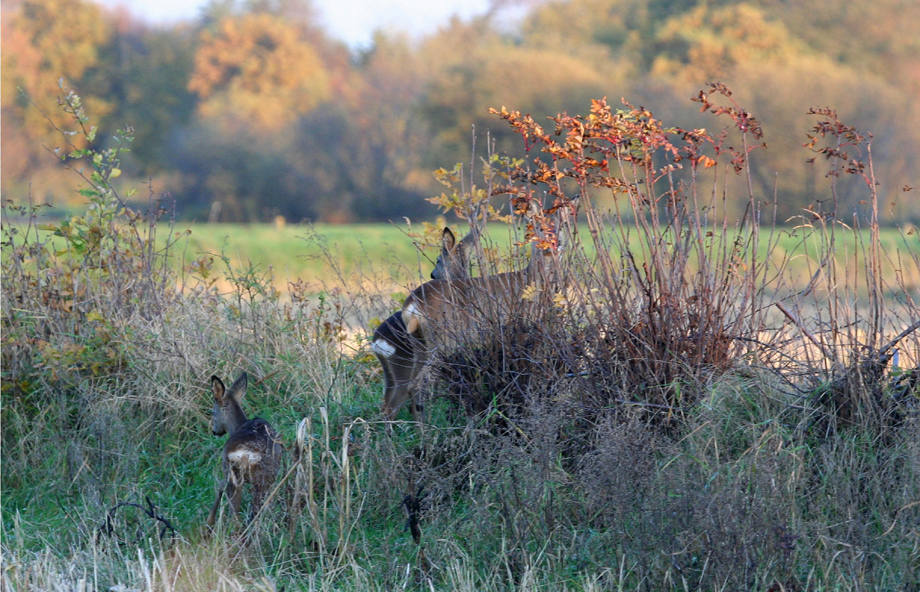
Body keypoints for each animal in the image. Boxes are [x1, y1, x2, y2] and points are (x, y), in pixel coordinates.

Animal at [207, 372, 282, 528]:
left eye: (212, 412)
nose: (215, 432)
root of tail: (247, 454)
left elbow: (220, 487)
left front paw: (210, 521)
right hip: (267, 475)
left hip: (235, 472)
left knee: (234, 508)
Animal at [372, 227, 478, 420]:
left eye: (438, 260)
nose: (433, 274)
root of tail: (378, 342)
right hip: (405, 366)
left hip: (392, 373)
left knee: (388, 406)